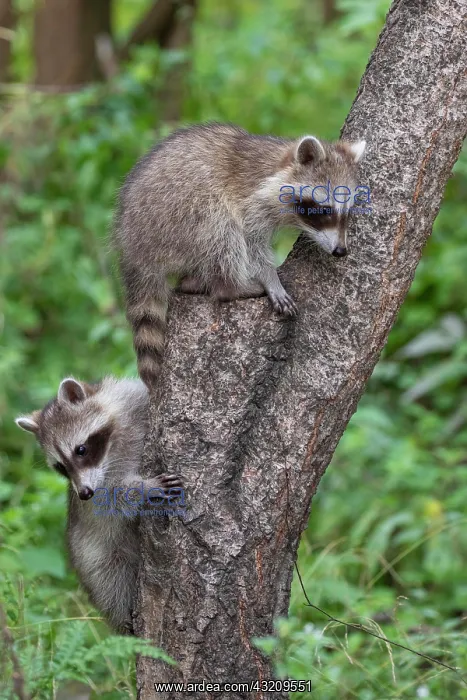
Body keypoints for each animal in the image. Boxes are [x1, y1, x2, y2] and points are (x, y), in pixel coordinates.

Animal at [15, 376, 183, 633]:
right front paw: (144, 488)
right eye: (60, 467)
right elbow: (113, 499)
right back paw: (123, 618)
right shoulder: (96, 495)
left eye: (81, 450)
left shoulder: (131, 401)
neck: (112, 448)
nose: (84, 493)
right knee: (111, 583)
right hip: (94, 558)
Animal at [114, 122, 366, 387]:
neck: (278, 167)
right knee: (220, 226)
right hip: (175, 213)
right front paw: (269, 277)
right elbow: (251, 240)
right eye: (325, 210)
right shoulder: (251, 199)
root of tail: (133, 247)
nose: (340, 251)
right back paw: (231, 286)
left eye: (347, 212)